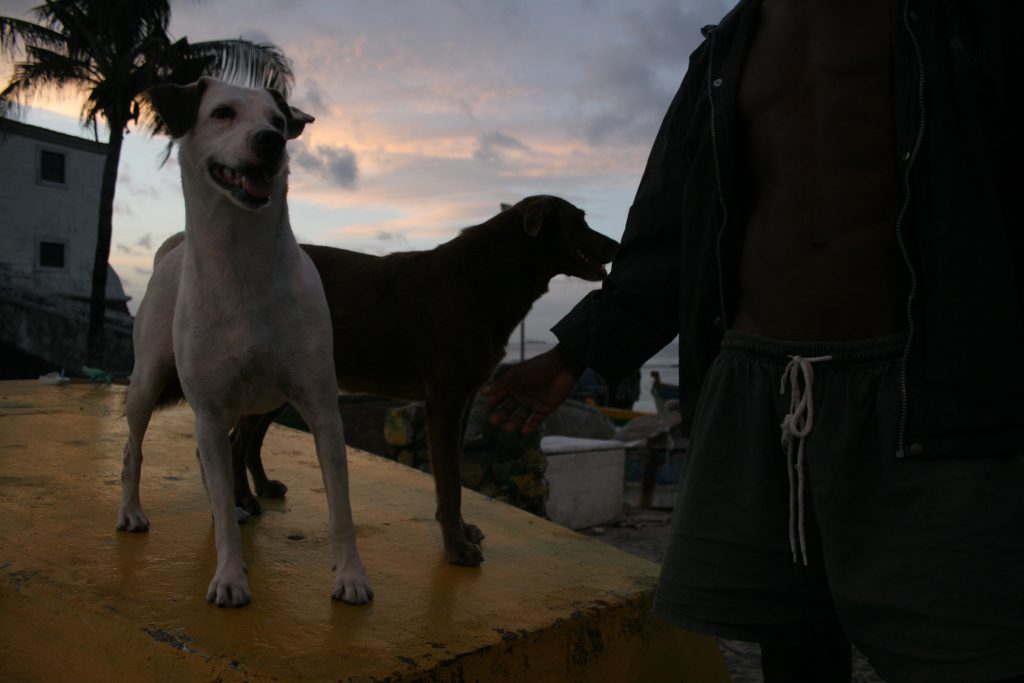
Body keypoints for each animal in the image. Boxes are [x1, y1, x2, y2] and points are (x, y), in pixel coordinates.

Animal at [117, 78, 372, 610]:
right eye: (222, 113)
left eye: (277, 122)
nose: (270, 142)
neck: (243, 263)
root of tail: (172, 249)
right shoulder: (210, 410)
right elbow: (211, 473)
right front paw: (230, 576)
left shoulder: (321, 408)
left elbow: (341, 508)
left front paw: (351, 576)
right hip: (147, 382)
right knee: (135, 448)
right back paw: (132, 511)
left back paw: (228, 509)